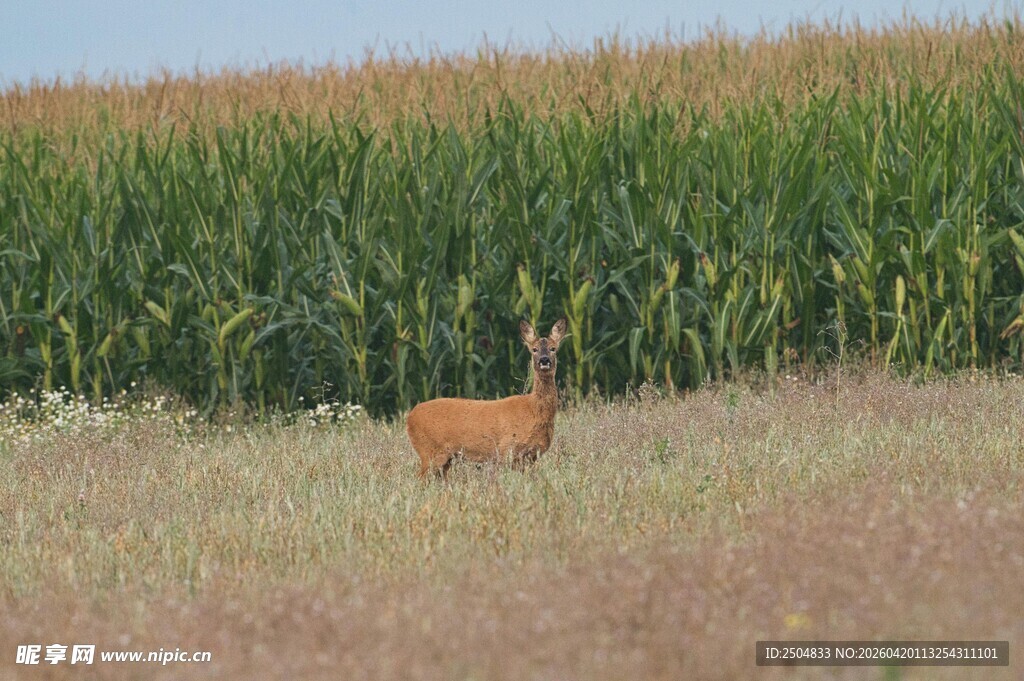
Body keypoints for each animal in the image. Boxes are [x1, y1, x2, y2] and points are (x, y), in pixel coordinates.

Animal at [406, 318, 567, 479]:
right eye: (534, 349)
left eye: (553, 348)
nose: (544, 360)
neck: (534, 409)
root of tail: (410, 417)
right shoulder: (507, 448)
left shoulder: (531, 456)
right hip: (429, 451)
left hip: (444, 458)